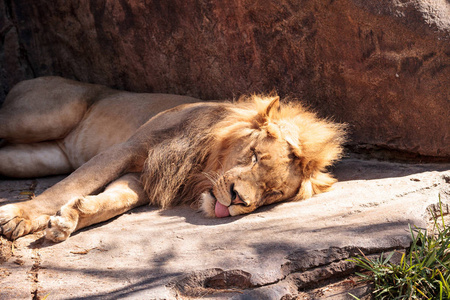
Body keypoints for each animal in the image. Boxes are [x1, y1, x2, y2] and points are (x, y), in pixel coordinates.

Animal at [0, 77, 344, 241]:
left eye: (273, 192)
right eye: (255, 156)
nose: (237, 200)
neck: (202, 169)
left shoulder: (143, 178)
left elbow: (112, 201)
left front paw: (66, 220)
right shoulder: (128, 148)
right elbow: (67, 187)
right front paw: (18, 214)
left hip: (37, 157)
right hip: (43, 116)